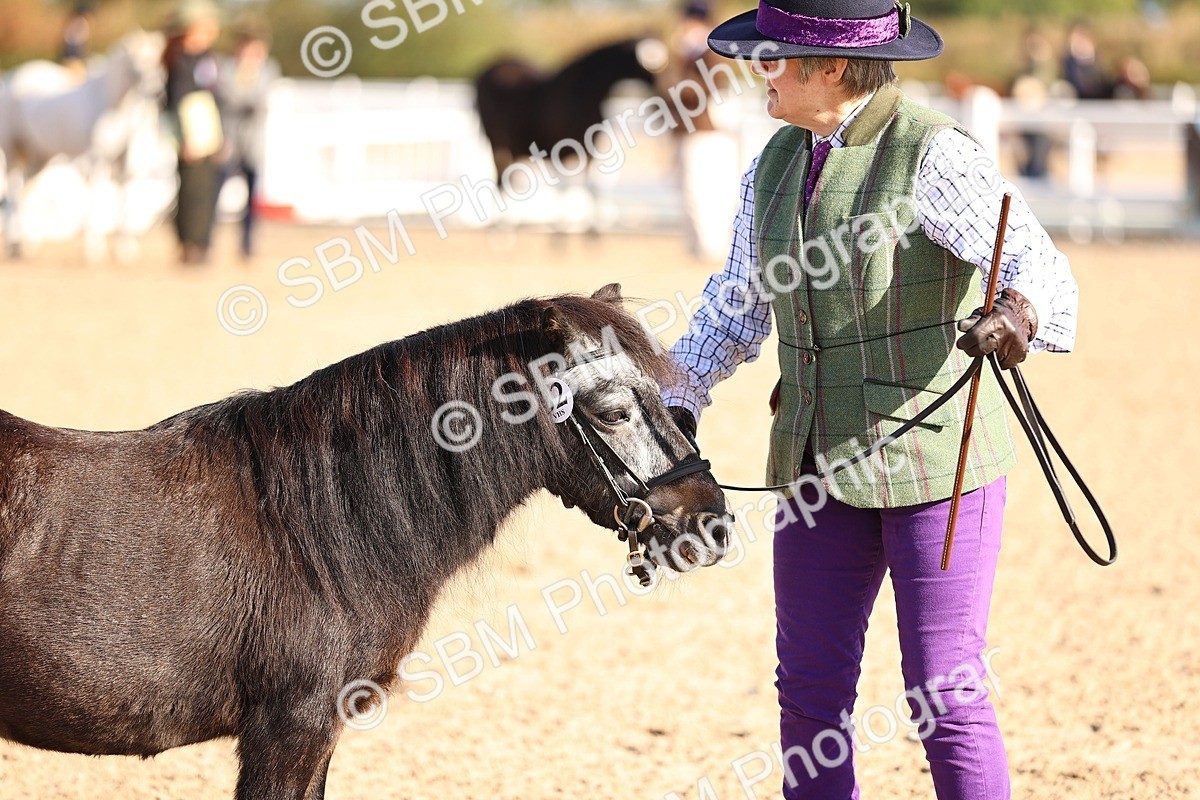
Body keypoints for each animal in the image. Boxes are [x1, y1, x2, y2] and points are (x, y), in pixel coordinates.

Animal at [0, 30, 164, 259]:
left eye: (157, 60)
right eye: (135, 63)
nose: (157, 93)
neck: (113, 105)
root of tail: (12, 77)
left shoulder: (124, 159)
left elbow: (124, 196)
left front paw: (124, 247)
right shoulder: (96, 158)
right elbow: (96, 194)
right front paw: (94, 248)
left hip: (41, 157)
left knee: (26, 189)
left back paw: (28, 243)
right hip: (12, 151)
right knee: (12, 191)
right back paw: (13, 243)